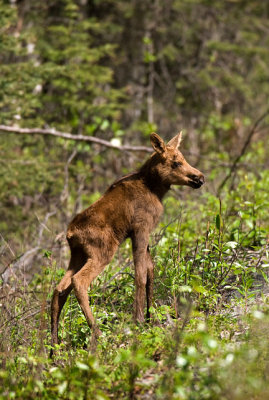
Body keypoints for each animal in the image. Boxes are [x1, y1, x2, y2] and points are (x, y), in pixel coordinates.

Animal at [50, 131, 203, 354]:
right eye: (176, 162)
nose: (199, 178)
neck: (155, 189)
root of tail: (70, 234)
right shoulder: (140, 229)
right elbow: (140, 274)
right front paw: (138, 320)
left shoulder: (143, 234)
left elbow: (150, 270)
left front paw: (152, 317)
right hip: (102, 252)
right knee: (79, 282)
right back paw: (97, 333)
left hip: (78, 256)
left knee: (60, 288)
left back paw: (53, 348)